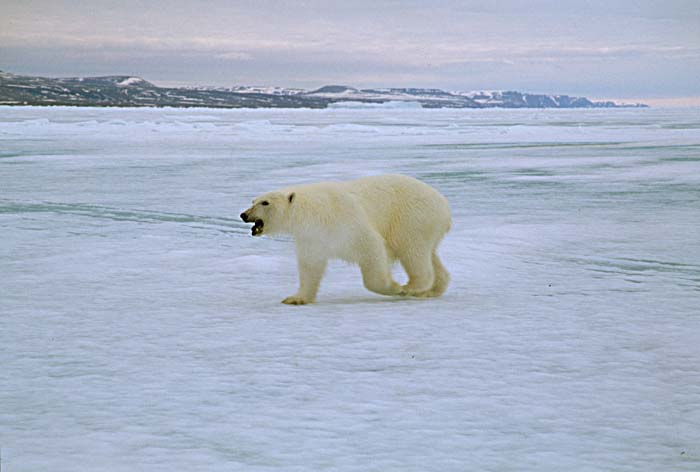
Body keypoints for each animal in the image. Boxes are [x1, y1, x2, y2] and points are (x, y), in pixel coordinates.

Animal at [239, 175, 448, 304]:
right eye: (253, 200)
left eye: (265, 202)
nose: (244, 214)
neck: (314, 212)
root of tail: (443, 204)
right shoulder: (313, 236)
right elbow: (310, 265)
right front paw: (296, 298)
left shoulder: (345, 222)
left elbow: (371, 247)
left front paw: (395, 287)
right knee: (430, 255)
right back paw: (433, 289)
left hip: (411, 219)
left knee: (413, 251)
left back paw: (412, 287)